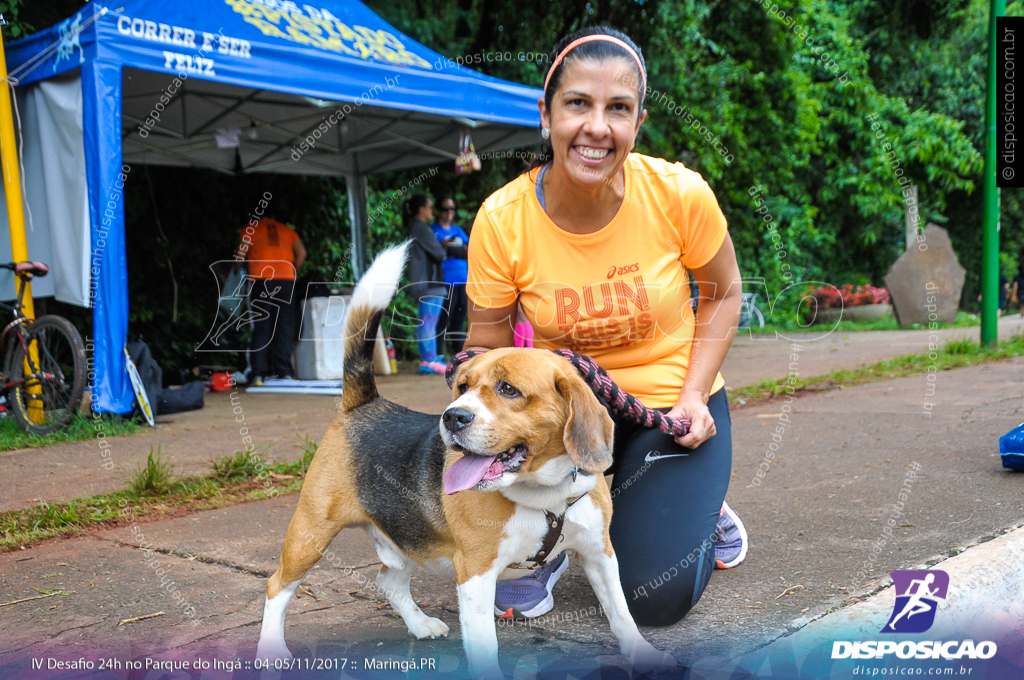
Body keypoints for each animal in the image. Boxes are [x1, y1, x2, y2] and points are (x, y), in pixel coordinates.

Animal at [254, 245, 675, 680]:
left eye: (508, 389)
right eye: (461, 386)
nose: (452, 417)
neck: (544, 492)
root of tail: (365, 403)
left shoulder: (599, 552)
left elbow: (621, 613)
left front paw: (643, 656)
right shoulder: (475, 572)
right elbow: (485, 645)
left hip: (406, 538)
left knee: (389, 581)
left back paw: (420, 624)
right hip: (310, 535)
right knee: (275, 587)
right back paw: (272, 652)